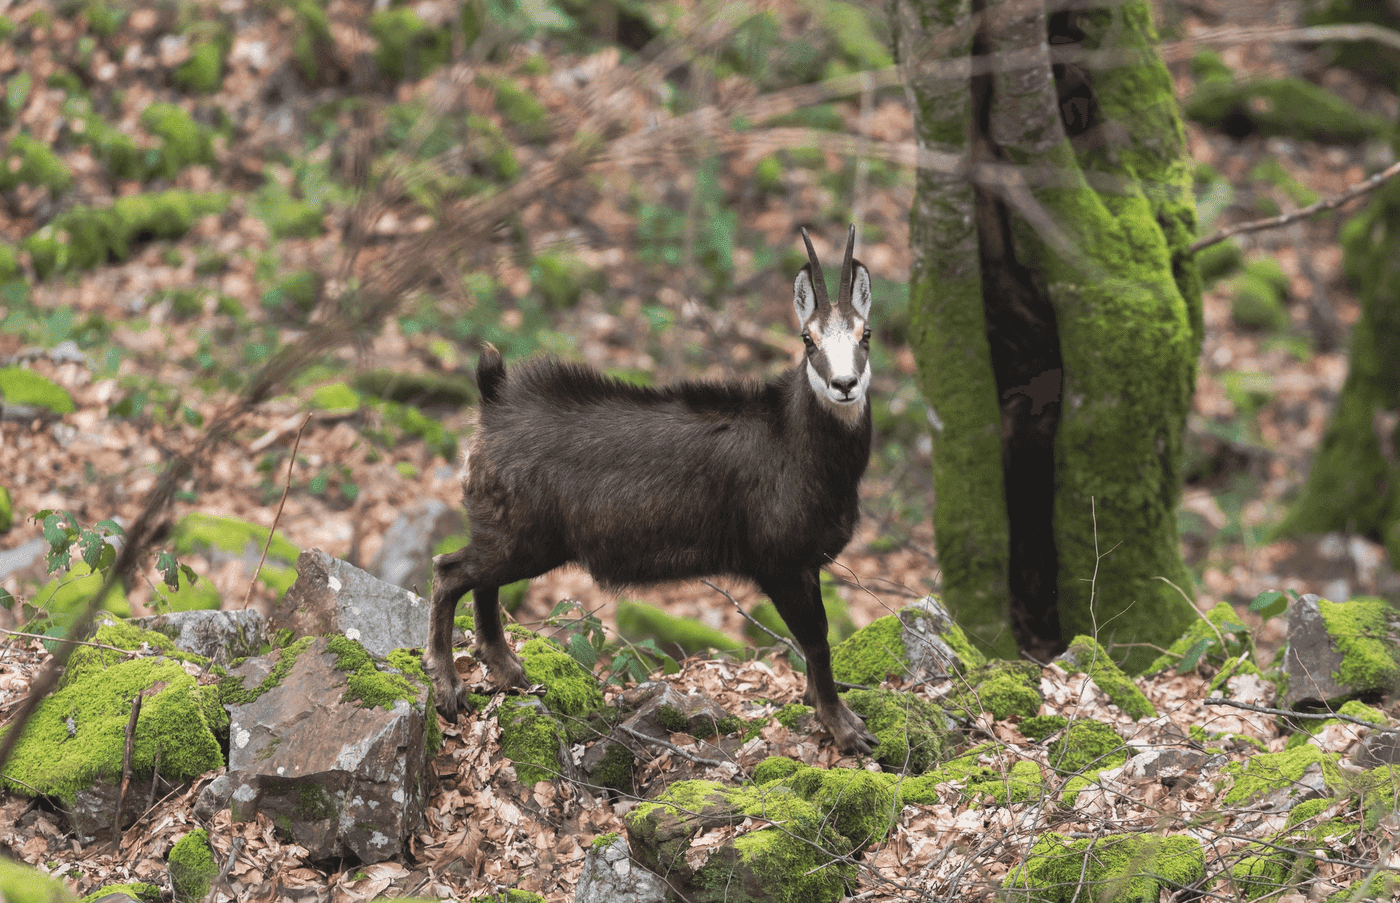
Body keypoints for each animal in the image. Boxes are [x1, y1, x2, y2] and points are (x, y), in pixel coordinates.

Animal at [424, 225, 878, 755]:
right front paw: (846, 729)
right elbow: (818, 641)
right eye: (808, 338)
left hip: (508, 536)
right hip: (520, 538)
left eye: (865, 334)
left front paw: (817, 705)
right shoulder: (780, 562)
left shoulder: (807, 564)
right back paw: (449, 688)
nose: (844, 385)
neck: (799, 447)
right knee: (449, 571)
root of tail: (490, 405)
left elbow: (815, 642)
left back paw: (508, 670)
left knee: (481, 583)